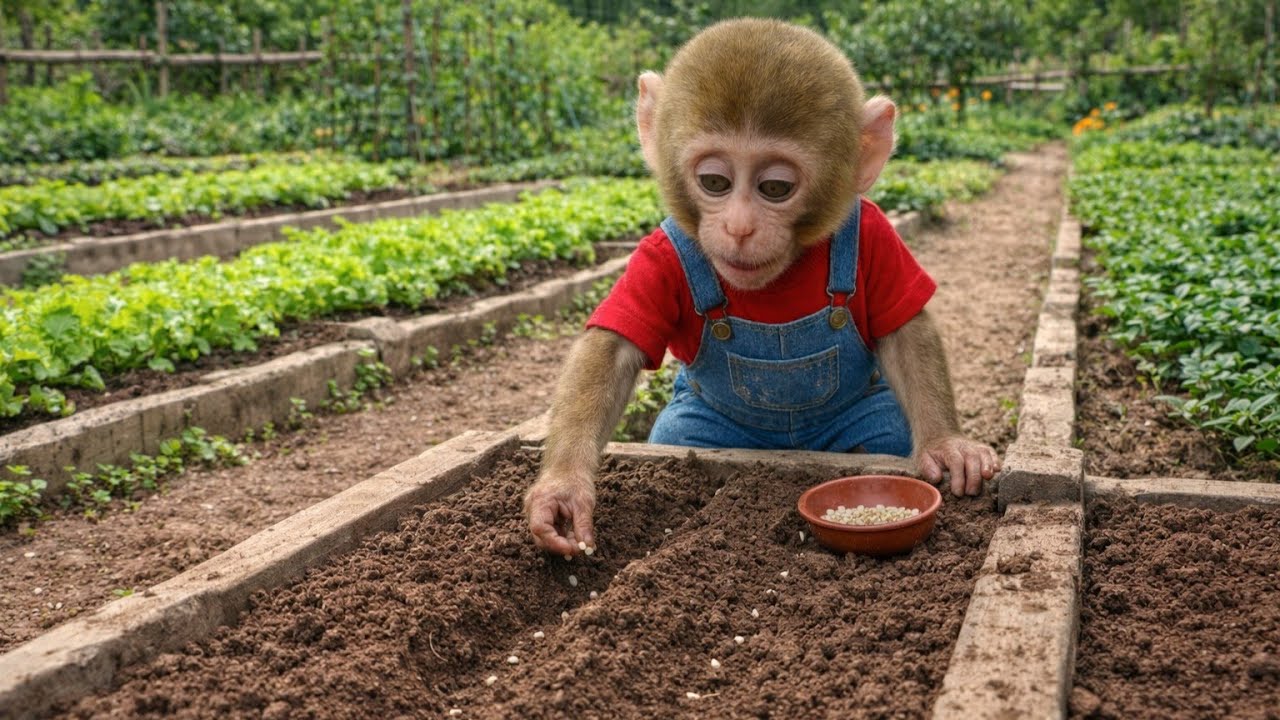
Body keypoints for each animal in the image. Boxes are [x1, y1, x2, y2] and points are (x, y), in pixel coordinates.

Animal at [525, 18, 999, 557]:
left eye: (774, 188)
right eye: (714, 181)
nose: (739, 227)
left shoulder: (879, 235)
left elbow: (905, 332)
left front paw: (946, 444)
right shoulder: (658, 252)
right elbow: (614, 346)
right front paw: (562, 489)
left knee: (878, 430)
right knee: (682, 430)